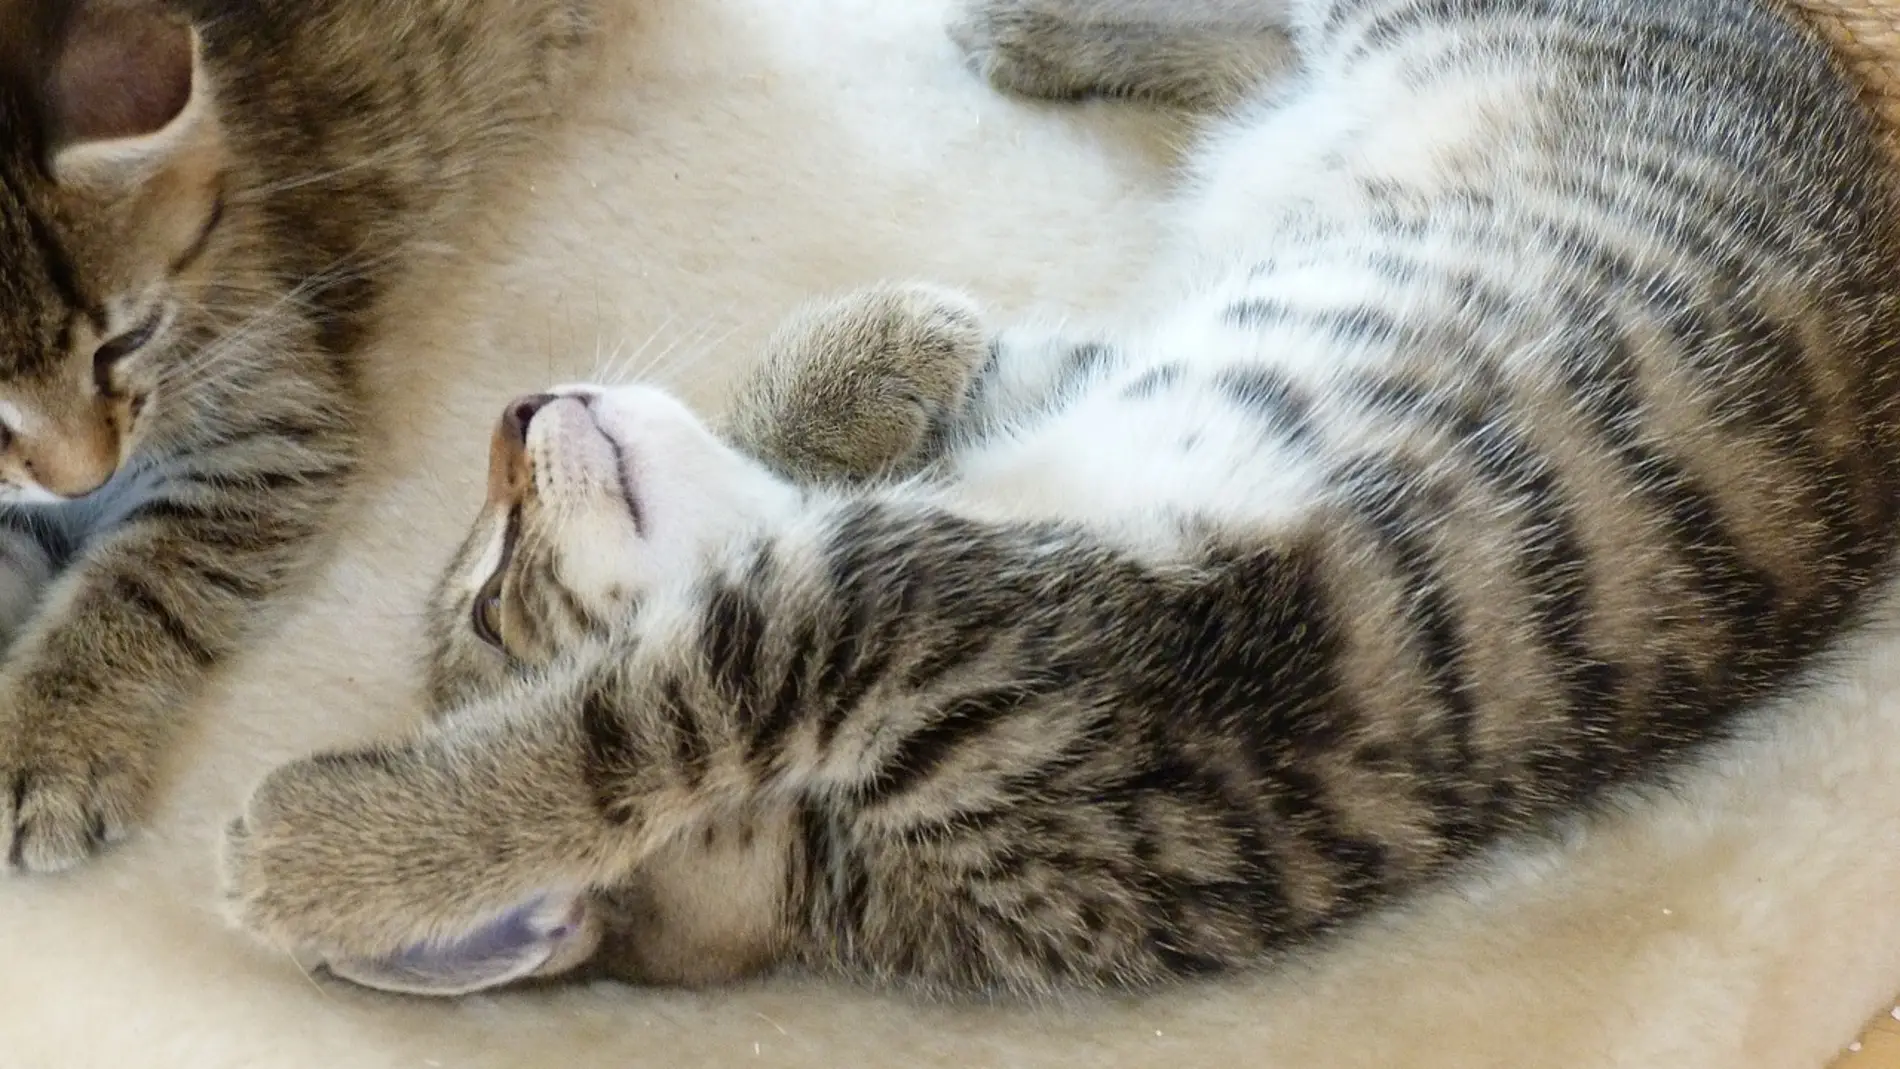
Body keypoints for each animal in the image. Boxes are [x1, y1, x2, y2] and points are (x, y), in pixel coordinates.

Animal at [222, 0, 1900, 1002]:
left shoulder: (941, 556)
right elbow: (618, 726)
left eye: (490, 568)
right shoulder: (933, 626)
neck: (841, 877)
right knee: (1279, 70)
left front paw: (861, 354)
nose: (513, 414)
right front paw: (327, 855)